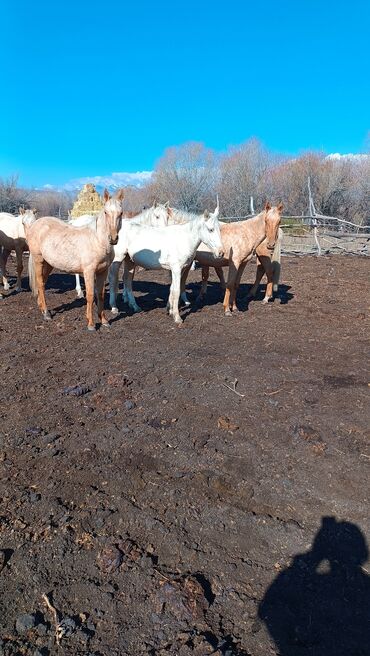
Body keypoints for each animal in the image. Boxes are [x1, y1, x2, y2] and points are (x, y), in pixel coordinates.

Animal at [23, 190, 123, 334]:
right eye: (105, 212)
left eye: (121, 213)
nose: (113, 238)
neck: (97, 240)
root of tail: (35, 225)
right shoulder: (89, 271)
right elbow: (90, 295)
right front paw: (91, 324)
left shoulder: (103, 271)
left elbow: (100, 295)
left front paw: (104, 321)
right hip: (39, 260)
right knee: (40, 284)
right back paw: (46, 313)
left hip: (49, 263)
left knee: (41, 282)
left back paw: (41, 307)